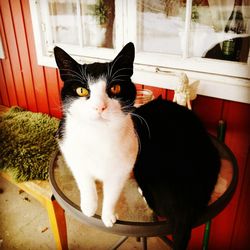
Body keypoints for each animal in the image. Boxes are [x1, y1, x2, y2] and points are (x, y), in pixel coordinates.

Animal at [53, 43, 220, 250]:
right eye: (82, 91)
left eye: (115, 87)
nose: (100, 107)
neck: (99, 134)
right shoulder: (70, 149)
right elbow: (85, 181)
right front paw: (89, 206)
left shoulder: (124, 165)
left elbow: (112, 192)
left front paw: (108, 215)